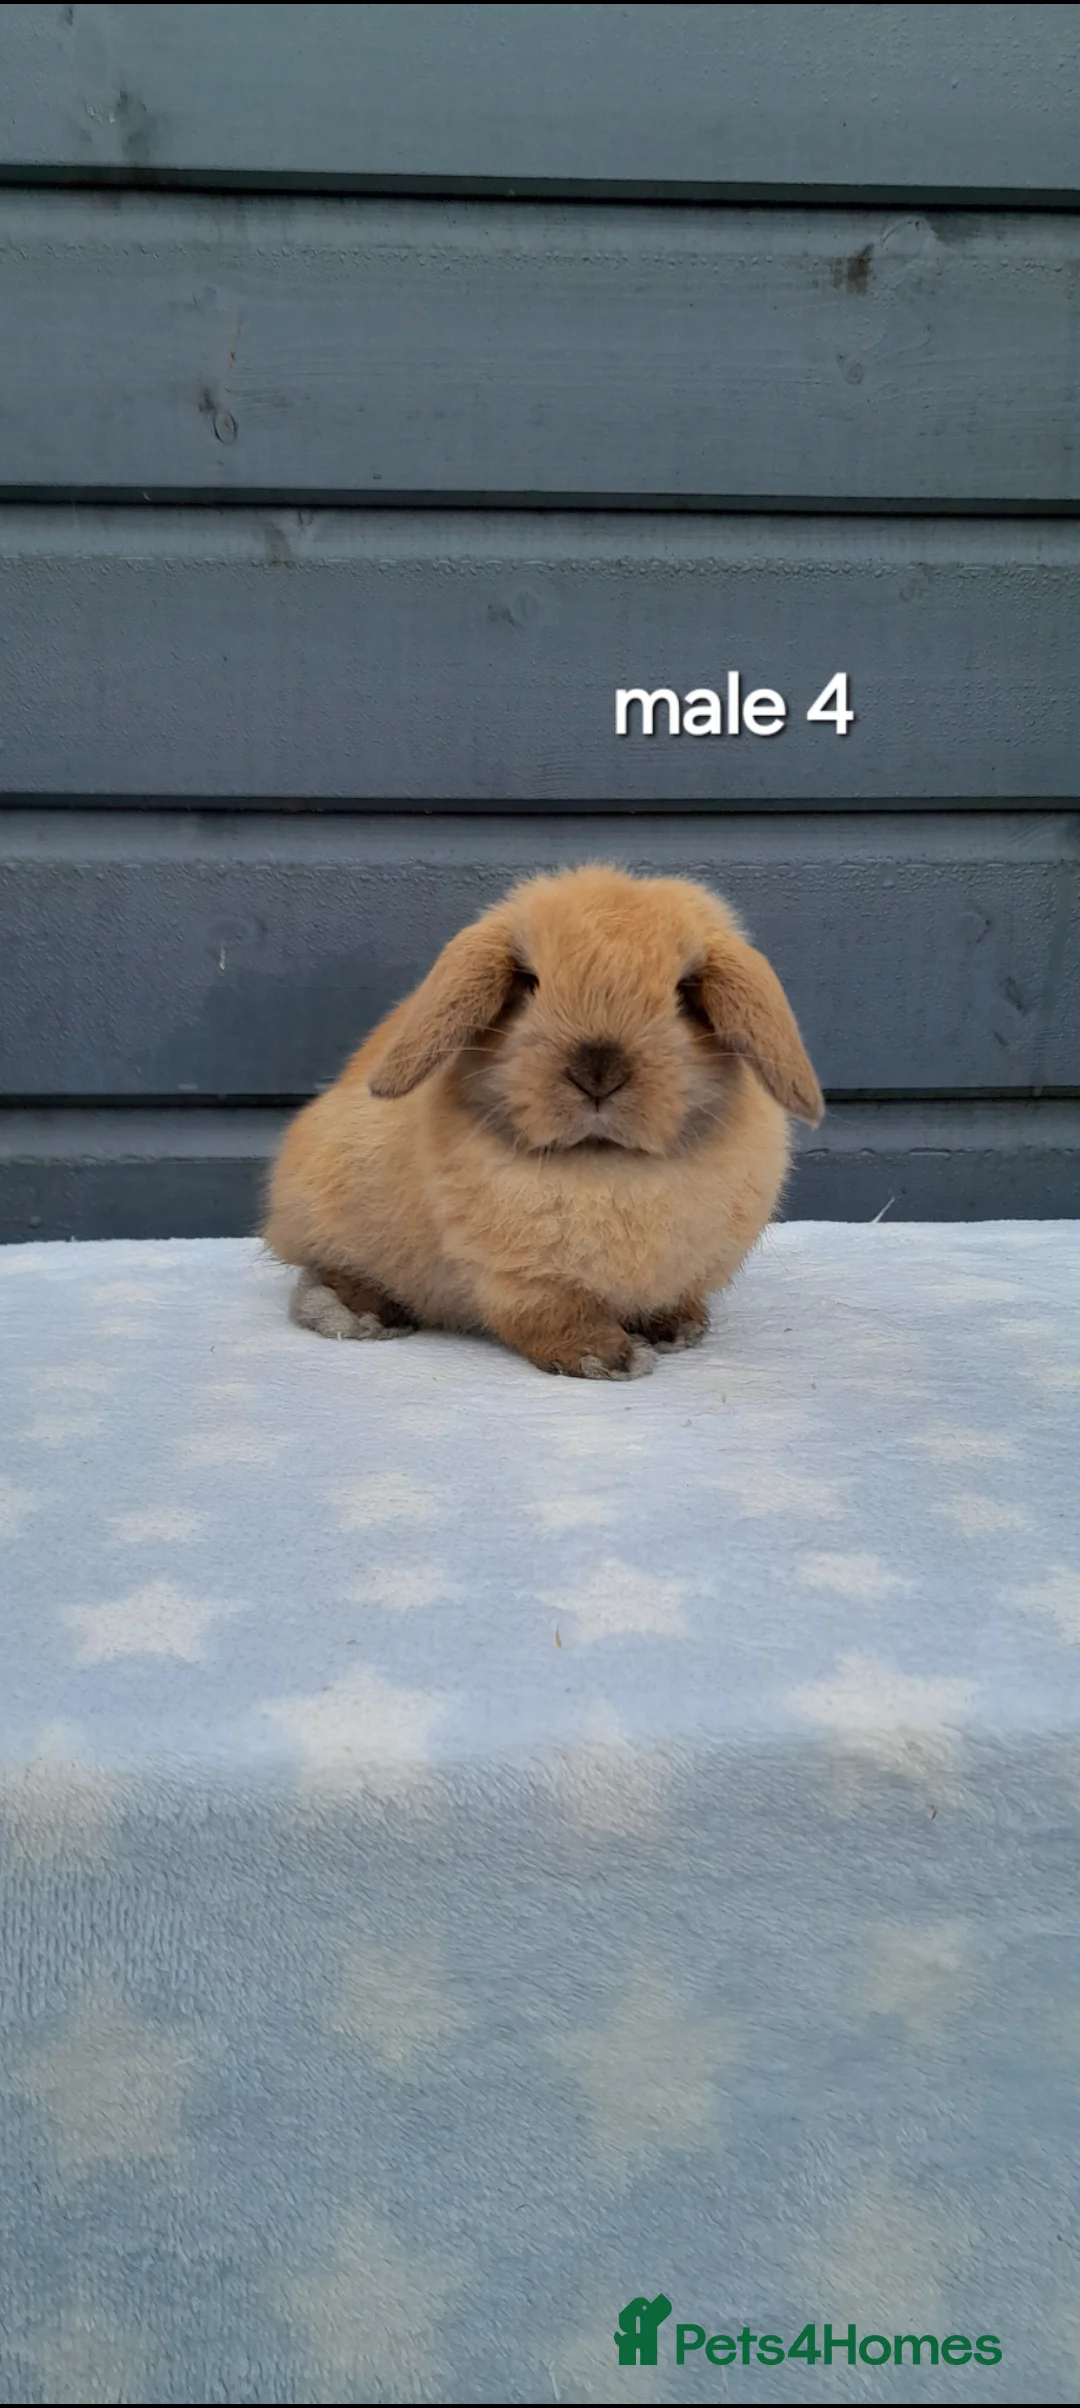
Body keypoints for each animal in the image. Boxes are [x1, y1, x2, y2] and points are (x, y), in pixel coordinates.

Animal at [262, 865, 823, 1379]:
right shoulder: (518, 1279)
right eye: (529, 982)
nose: (598, 1071)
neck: (603, 1161)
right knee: (324, 1272)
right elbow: (550, 1318)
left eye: (686, 992)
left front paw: (678, 1330)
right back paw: (361, 1315)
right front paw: (606, 1359)